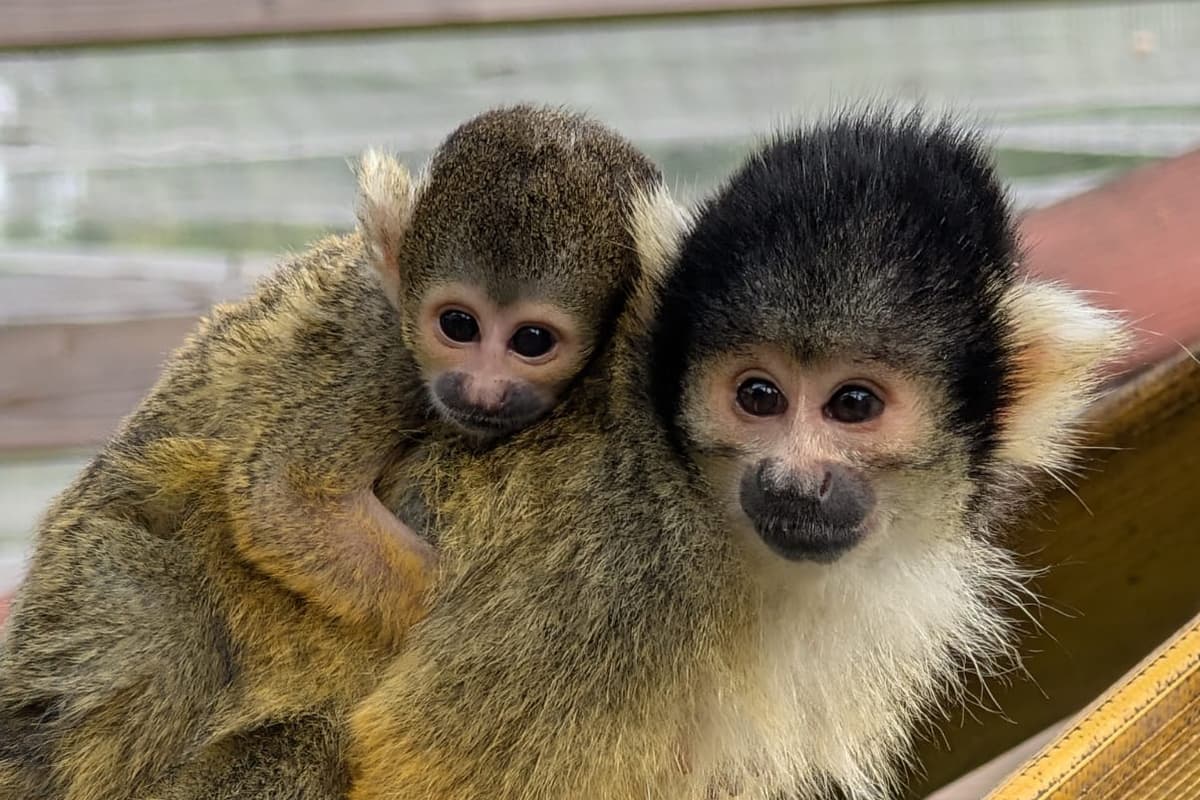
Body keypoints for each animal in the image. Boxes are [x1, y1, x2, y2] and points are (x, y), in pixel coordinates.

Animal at [0, 104, 664, 800]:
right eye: (458, 325)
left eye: (532, 341)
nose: (479, 389)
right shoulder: (381, 347)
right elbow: (286, 498)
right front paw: (446, 619)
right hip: (82, 591)